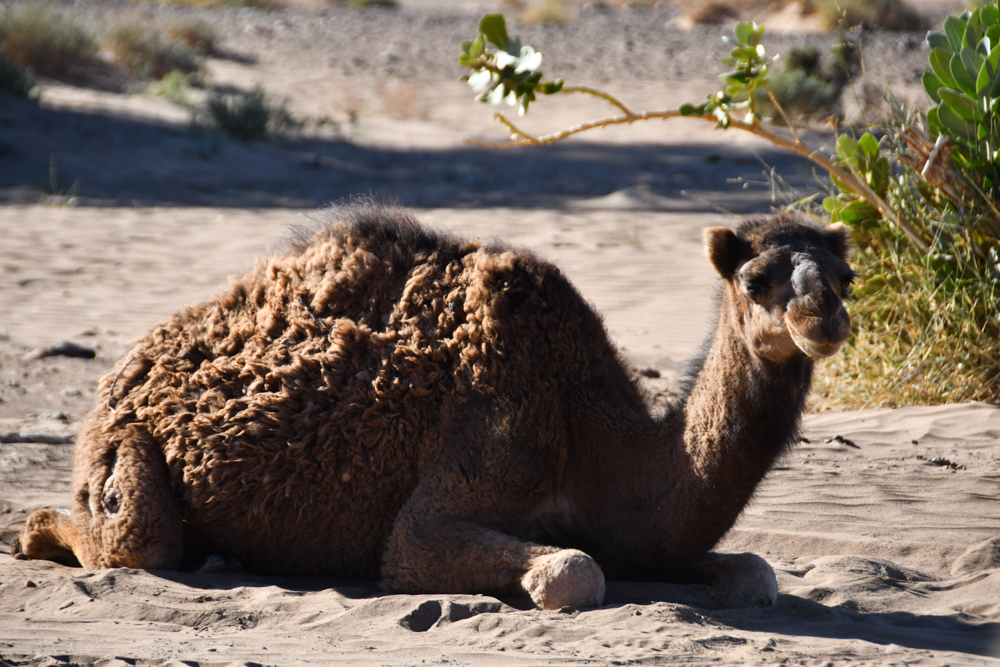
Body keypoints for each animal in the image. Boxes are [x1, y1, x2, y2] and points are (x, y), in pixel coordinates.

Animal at [11, 202, 852, 612]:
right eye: (756, 279)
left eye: (845, 274)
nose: (824, 317)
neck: (593, 431)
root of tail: (121, 370)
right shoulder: (468, 470)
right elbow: (572, 570)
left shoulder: (641, 535)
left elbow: (755, 573)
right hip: (122, 442)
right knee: (134, 540)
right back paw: (31, 530)